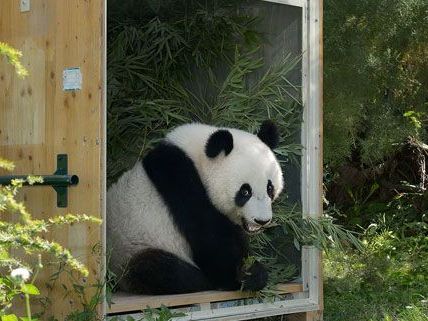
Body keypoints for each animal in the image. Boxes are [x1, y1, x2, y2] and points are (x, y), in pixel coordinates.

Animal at [108, 120, 284, 292]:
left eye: (270, 188)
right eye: (245, 191)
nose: (262, 220)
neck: (196, 157)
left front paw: (251, 270)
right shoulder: (179, 181)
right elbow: (209, 238)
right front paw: (242, 276)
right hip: (133, 249)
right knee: (158, 270)